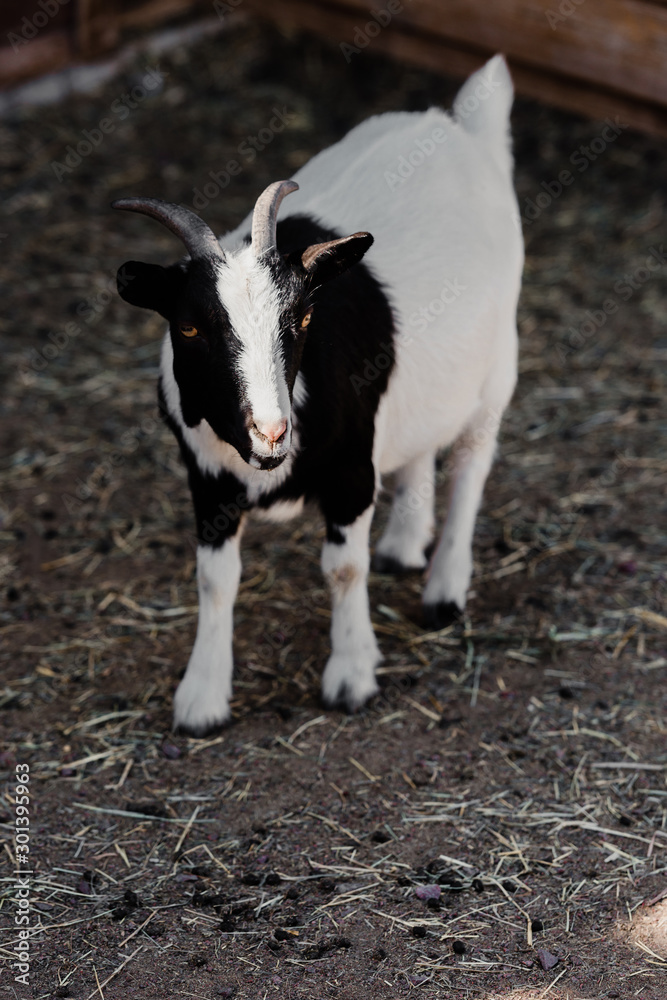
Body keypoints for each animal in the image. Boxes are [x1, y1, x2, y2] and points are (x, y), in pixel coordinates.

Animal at [112, 55, 523, 735]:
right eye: (190, 327)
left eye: (302, 317)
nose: (271, 431)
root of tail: (464, 126)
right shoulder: (205, 478)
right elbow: (215, 578)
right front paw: (201, 698)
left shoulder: (352, 469)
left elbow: (344, 568)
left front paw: (352, 675)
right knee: (420, 444)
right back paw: (405, 544)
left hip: (497, 365)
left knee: (472, 460)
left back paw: (444, 587)